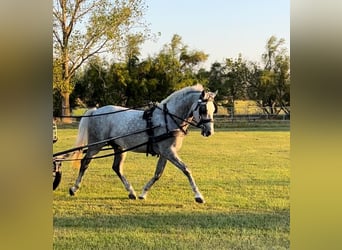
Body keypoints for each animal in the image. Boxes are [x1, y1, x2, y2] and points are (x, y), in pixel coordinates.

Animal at [70, 84, 218, 203]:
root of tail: (96, 111)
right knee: (85, 162)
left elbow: (158, 174)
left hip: (119, 147)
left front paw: (143, 193)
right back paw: (74, 188)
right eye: (203, 109)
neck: (168, 118)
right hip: (95, 145)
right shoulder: (169, 152)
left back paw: (131, 192)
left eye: (213, 109)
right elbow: (186, 170)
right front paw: (198, 196)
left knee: (117, 168)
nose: (209, 131)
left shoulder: (165, 153)